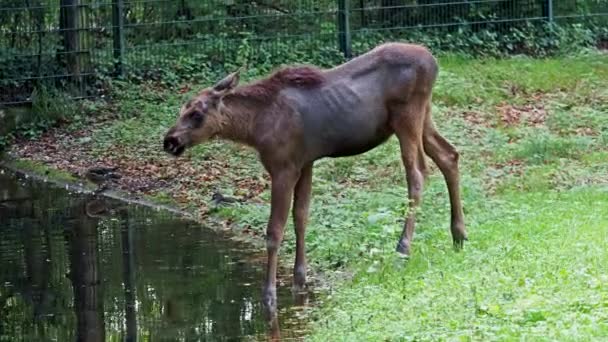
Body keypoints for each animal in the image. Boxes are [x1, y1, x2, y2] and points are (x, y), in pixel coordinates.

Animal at [162, 42, 466, 312]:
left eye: (196, 113)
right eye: (181, 109)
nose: (169, 141)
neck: (253, 128)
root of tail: (434, 62)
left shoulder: (283, 168)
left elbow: (274, 230)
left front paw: (269, 294)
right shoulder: (305, 163)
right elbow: (301, 217)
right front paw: (300, 279)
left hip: (407, 118)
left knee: (417, 173)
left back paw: (404, 248)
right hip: (425, 116)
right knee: (449, 155)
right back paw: (459, 234)